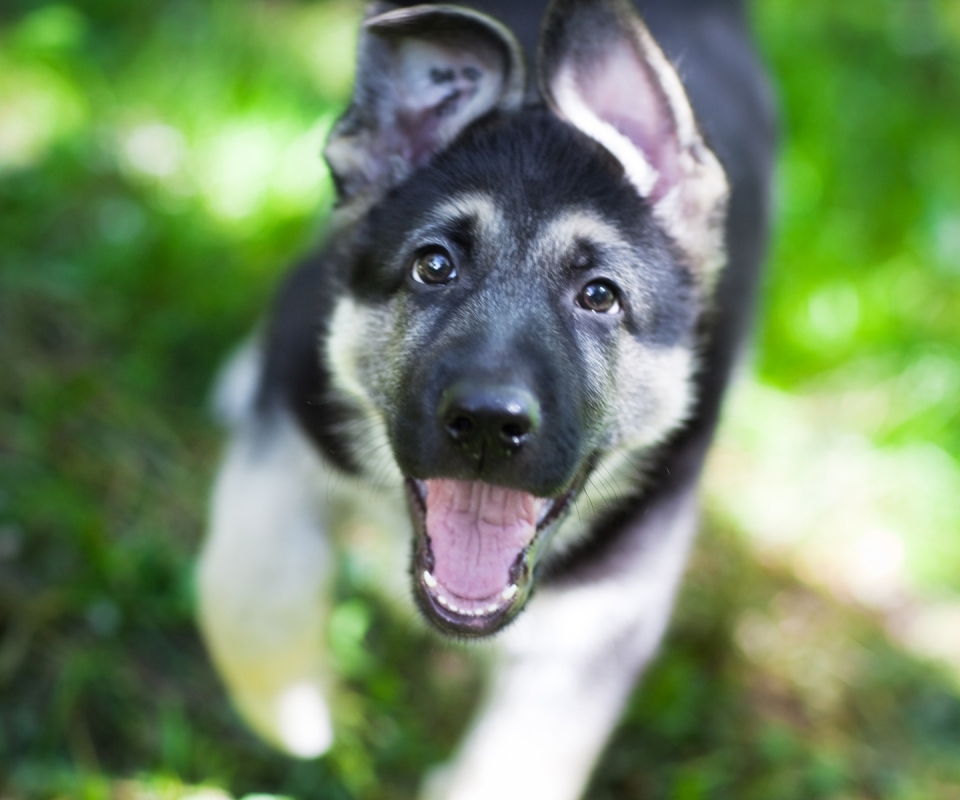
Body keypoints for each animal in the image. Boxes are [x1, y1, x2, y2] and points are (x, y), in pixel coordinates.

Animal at [199, 0, 776, 796]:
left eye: (600, 296)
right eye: (434, 265)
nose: (486, 425)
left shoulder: (600, 618)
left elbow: (516, 765)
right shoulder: (287, 423)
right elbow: (250, 586)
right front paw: (293, 712)